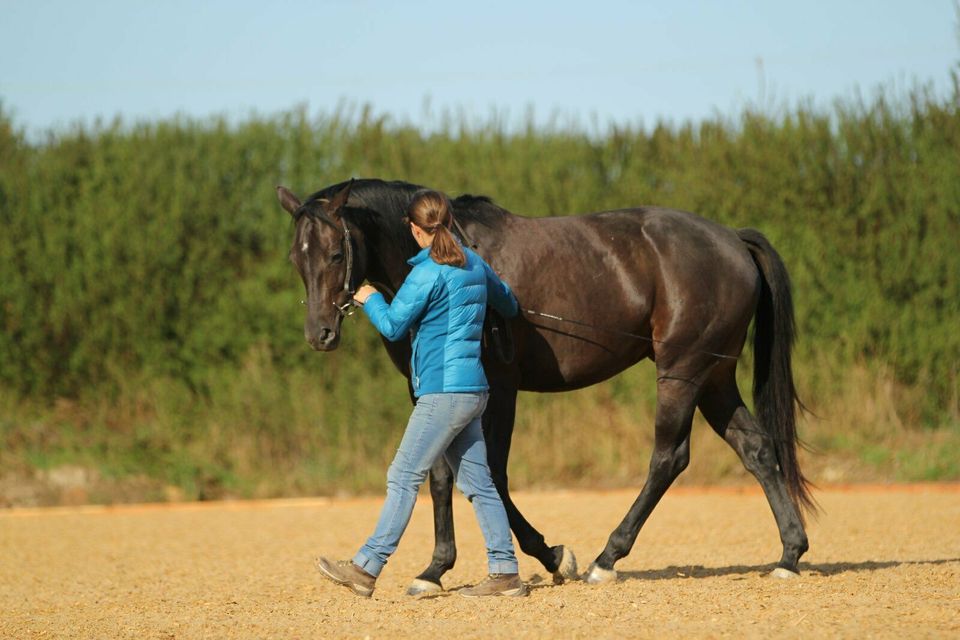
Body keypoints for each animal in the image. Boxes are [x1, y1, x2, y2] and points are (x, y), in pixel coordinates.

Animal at [274, 178, 812, 592]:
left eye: (336, 252)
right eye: (297, 258)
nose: (320, 334)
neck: (448, 258)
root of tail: (732, 239)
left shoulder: (498, 391)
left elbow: (490, 474)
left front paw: (553, 556)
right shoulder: (431, 392)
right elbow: (442, 475)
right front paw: (435, 568)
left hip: (682, 372)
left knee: (668, 458)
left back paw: (606, 559)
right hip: (714, 376)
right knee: (756, 449)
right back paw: (789, 554)